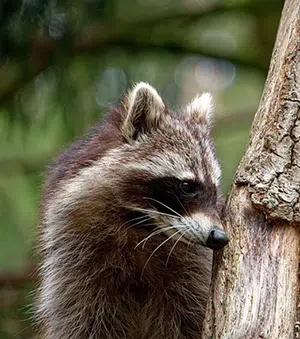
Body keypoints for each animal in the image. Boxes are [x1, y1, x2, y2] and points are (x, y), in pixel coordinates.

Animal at [35, 83, 227, 339]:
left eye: (214, 189)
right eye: (186, 186)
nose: (220, 237)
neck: (141, 226)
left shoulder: (192, 270)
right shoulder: (74, 261)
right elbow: (81, 322)